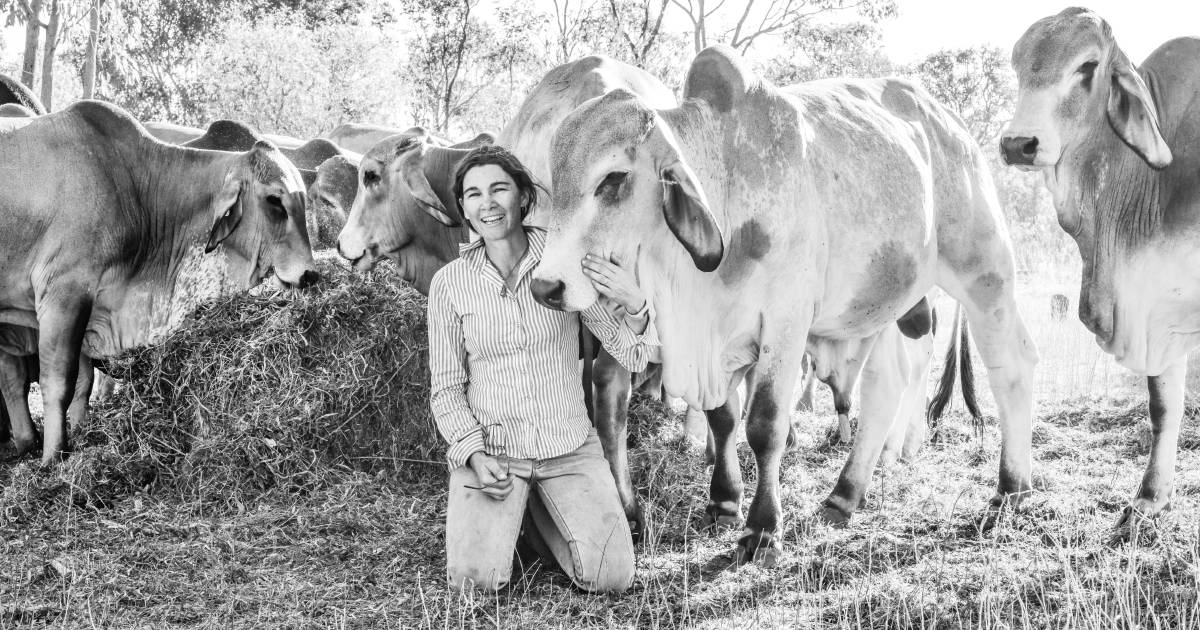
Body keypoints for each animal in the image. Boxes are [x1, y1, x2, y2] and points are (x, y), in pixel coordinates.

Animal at [0, 98, 319, 460]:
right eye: (275, 200)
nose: (310, 273)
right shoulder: (64, 294)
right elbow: (59, 383)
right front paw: (54, 457)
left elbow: (78, 382)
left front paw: (76, 435)